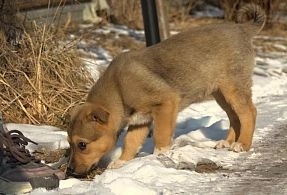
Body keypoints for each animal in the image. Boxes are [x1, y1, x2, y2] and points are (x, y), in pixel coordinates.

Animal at [66, 3, 266, 176]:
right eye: (70, 144)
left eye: (82, 145)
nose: (70, 171)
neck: (118, 91)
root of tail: (242, 29)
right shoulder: (140, 121)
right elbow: (131, 143)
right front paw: (121, 162)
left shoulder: (165, 103)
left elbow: (161, 136)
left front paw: (159, 154)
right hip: (221, 93)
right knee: (234, 116)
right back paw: (227, 142)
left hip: (233, 87)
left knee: (249, 112)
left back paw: (242, 144)